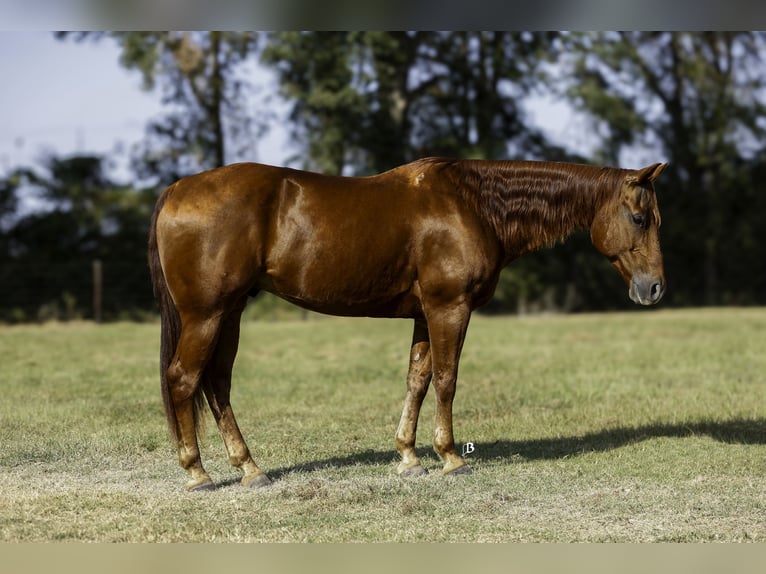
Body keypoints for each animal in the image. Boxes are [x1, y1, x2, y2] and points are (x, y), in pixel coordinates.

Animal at [147, 158, 668, 490]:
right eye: (639, 218)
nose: (655, 288)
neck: (473, 205)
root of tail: (178, 189)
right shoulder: (448, 308)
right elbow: (446, 380)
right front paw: (451, 458)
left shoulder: (424, 313)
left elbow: (417, 380)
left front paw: (409, 457)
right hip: (207, 315)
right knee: (184, 379)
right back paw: (197, 473)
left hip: (230, 313)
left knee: (216, 383)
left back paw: (250, 469)